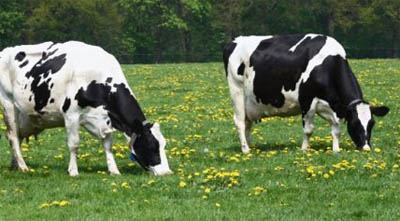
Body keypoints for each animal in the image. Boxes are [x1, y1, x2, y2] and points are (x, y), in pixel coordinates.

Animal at [0, 41, 172, 176]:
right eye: (151, 145)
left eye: (164, 145)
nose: (167, 173)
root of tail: (6, 50)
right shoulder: (71, 115)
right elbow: (74, 144)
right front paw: (73, 171)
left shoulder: (106, 118)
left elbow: (108, 145)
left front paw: (114, 170)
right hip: (8, 104)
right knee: (13, 136)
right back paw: (23, 167)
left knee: (16, 137)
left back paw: (15, 165)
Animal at [222, 33, 388, 154]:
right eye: (354, 123)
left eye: (372, 123)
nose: (366, 148)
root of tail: (234, 41)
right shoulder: (307, 101)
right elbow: (308, 130)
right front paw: (304, 149)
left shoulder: (333, 107)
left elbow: (336, 130)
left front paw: (336, 150)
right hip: (236, 89)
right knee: (240, 121)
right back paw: (245, 150)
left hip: (249, 101)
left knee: (247, 122)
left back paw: (250, 146)